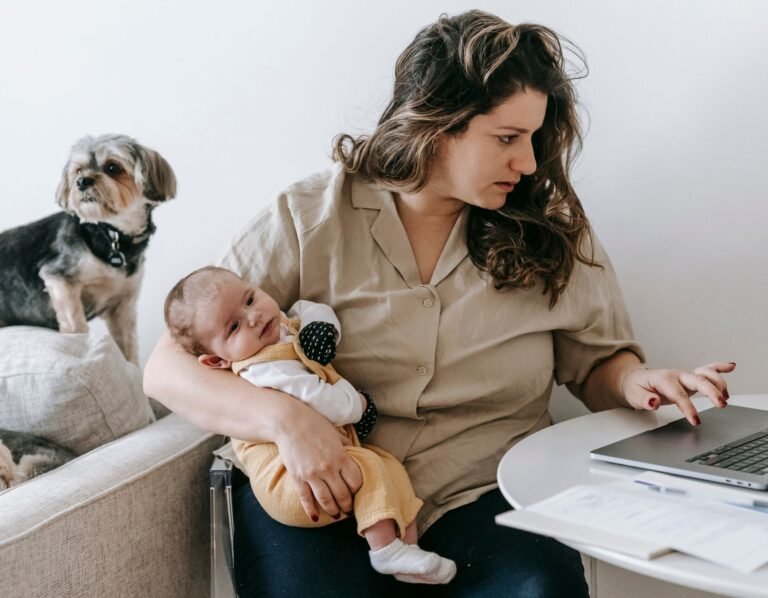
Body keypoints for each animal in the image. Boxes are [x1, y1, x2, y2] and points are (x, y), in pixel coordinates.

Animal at [0, 134, 175, 364]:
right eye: (79, 170)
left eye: (113, 167)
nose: (81, 182)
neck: (111, 233)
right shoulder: (59, 279)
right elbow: (76, 324)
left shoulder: (122, 304)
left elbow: (128, 347)